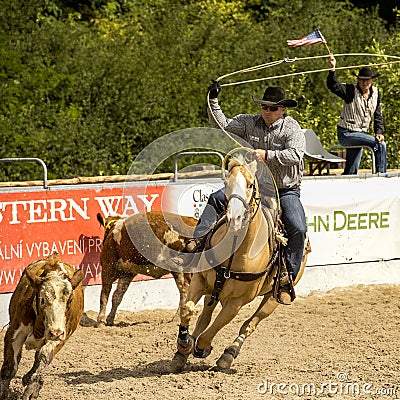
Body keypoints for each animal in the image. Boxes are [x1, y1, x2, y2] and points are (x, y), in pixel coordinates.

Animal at [0, 253, 83, 400]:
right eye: (42, 299)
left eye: (70, 300)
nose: (55, 332)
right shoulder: (14, 332)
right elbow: (10, 367)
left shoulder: (61, 336)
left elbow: (44, 356)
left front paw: (32, 388)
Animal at [170, 154, 310, 372]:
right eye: (226, 182)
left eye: (251, 184)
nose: (234, 217)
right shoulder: (200, 281)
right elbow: (188, 309)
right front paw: (184, 345)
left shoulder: (236, 302)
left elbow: (213, 329)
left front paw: (202, 348)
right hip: (213, 291)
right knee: (205, 317)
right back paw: (184, 353)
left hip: (275, 297)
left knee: (249, 324)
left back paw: (228, 355)